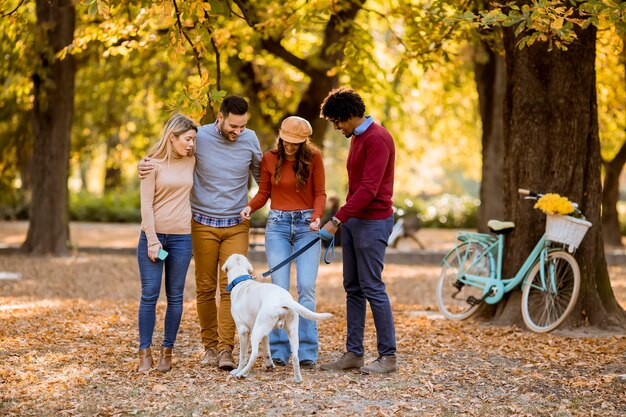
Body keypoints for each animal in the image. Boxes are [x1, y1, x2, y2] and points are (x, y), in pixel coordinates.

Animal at [223, 252, 334, 382]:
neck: (241, 281)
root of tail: (283, 299)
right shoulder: (265, 334)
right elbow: (267, 351)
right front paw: (269, 365)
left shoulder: (242, 330)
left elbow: (243, 355)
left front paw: (237, 370)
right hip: (291, 332)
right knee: (295, 356)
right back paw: (298, 379)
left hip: (256, 332)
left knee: (254, 354)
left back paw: (242, 373)